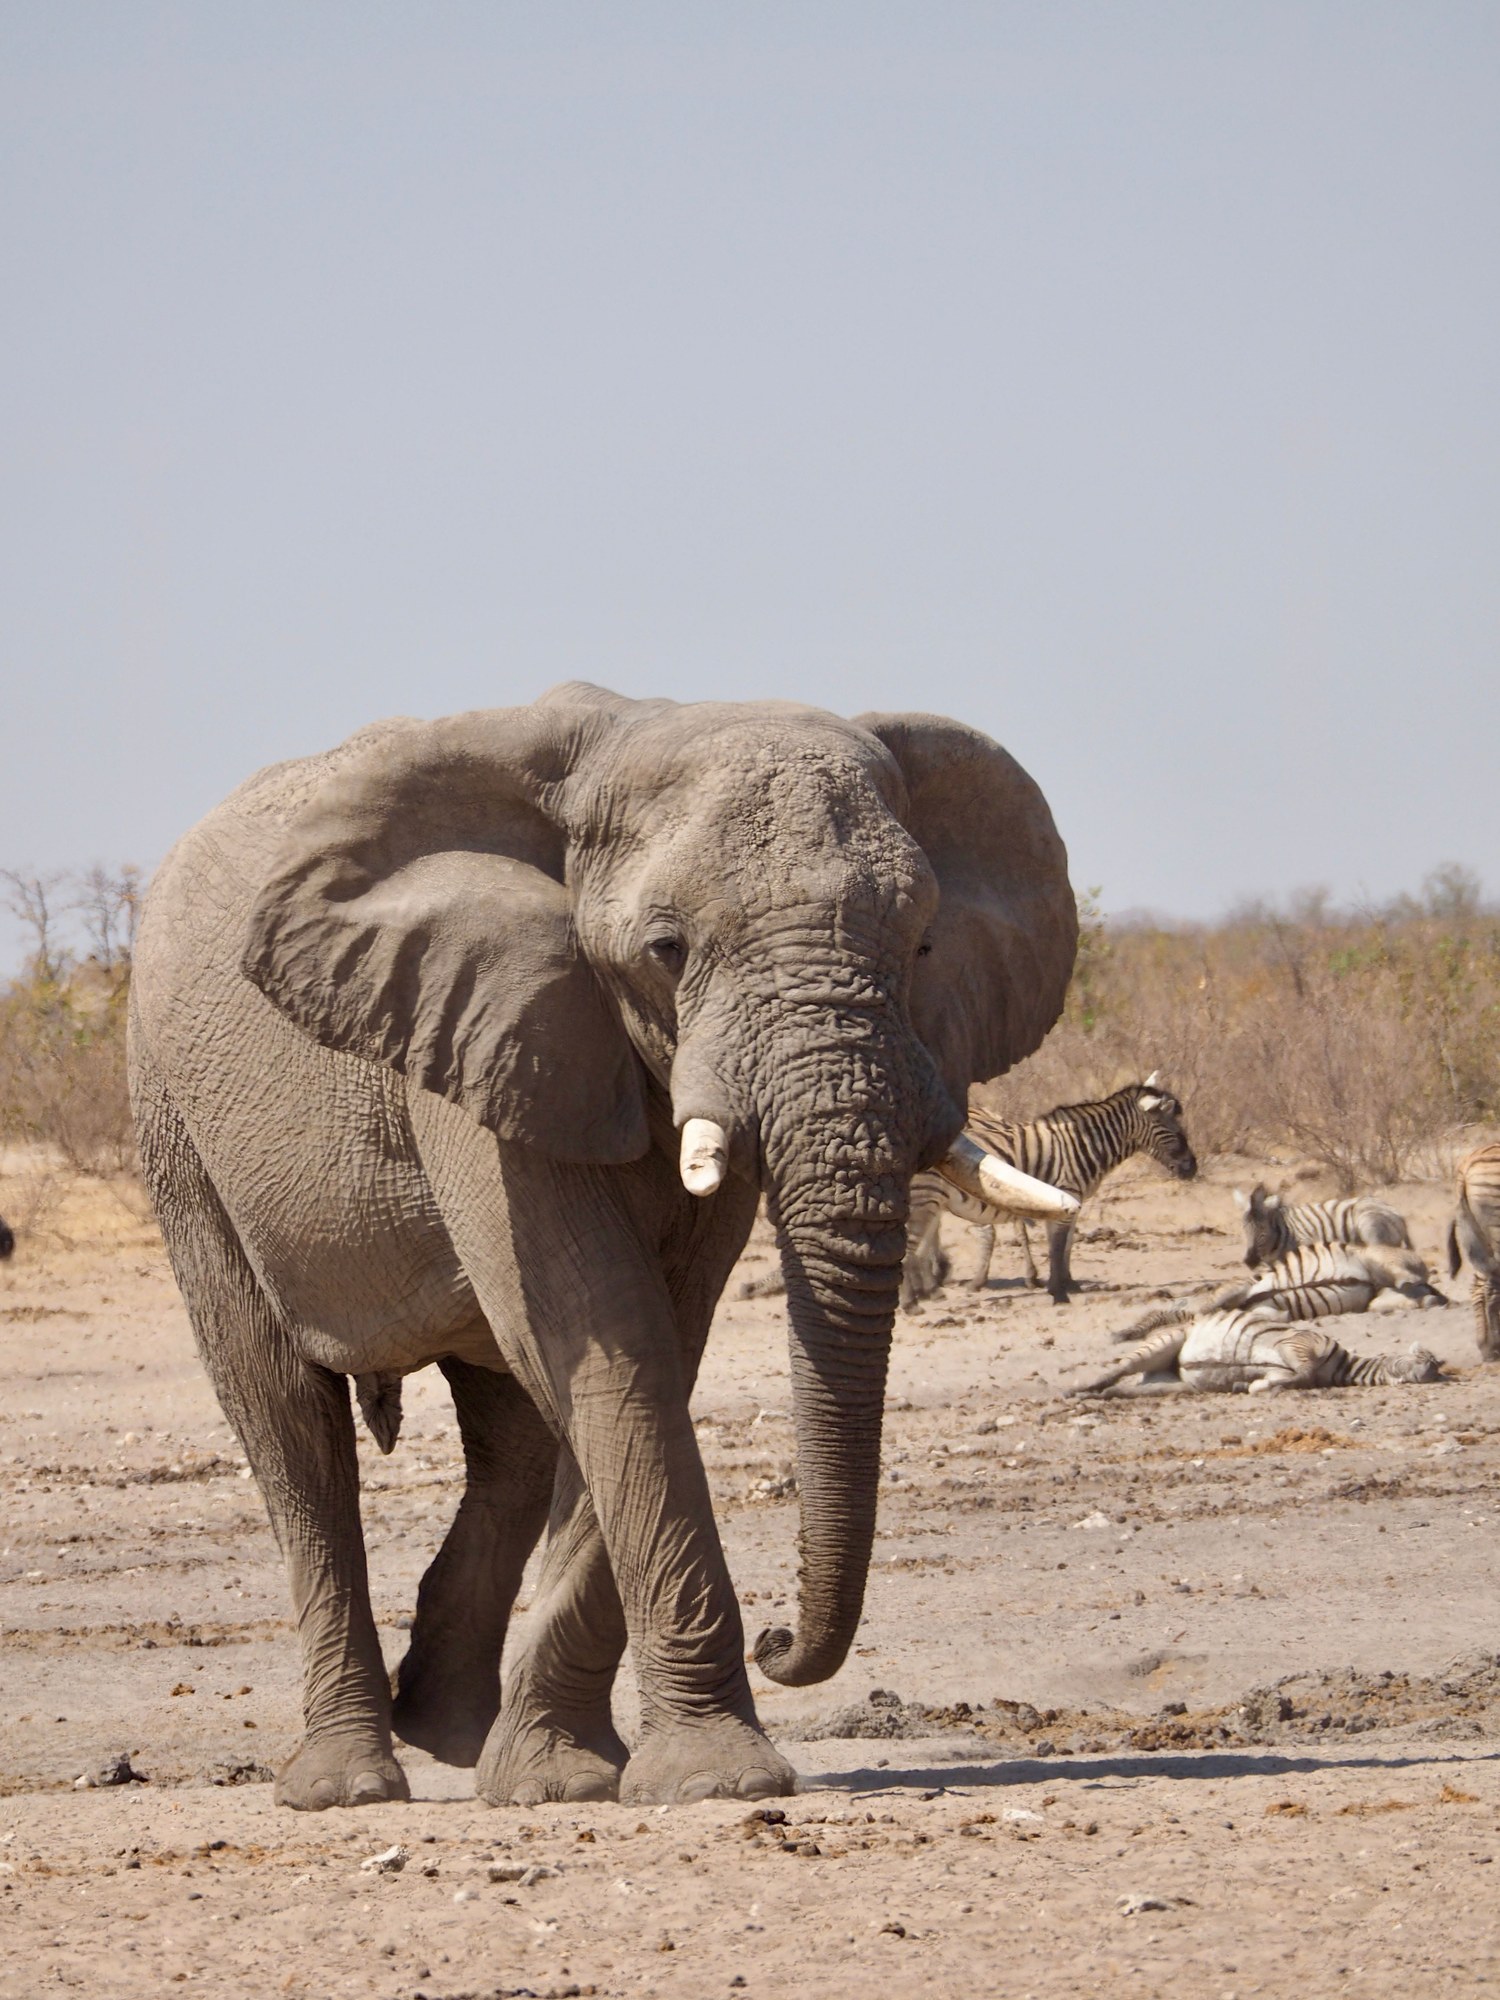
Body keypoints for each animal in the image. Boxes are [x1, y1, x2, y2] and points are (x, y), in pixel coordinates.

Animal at [126, 684, 1077, 1810]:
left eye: (924, 941)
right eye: (666, 947)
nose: (780, 1637)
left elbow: (649, 1345)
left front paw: (560, 1778)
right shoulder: (487, 1027)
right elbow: (616, 1340)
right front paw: (715, 1779)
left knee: (511, 1437)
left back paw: (452, 1734)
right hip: (176, 1125)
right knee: (288, 1426)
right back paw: (348, 1782)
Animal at [903, 1075, 1196, 1307]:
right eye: (1173, 1131)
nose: (1192, 1168)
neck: (1083, 1144)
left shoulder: (1069, 1200)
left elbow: (1066, 1246)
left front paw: (1068, 1284)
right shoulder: (1064, 1193)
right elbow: (1056, 1247)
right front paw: (1058, 1292)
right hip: (926, 1198)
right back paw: (916, 1300)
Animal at [1107, 1241, 1447, 1343]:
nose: (1121, 1335)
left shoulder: (1239, 1288)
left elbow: (1211, 1306)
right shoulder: (1260, 1308)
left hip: (1378, 1258)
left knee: (1409, 1277)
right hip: (1379, 1297)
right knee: (1412, 1295)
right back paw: (1431, 1298)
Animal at [1234, 1183, 1412, 1270]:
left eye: (1262, 1230)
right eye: (1244, 1230)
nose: (1249, 1261)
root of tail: (1397, 1213)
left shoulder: (1308, 1241)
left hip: (1368, 1224)